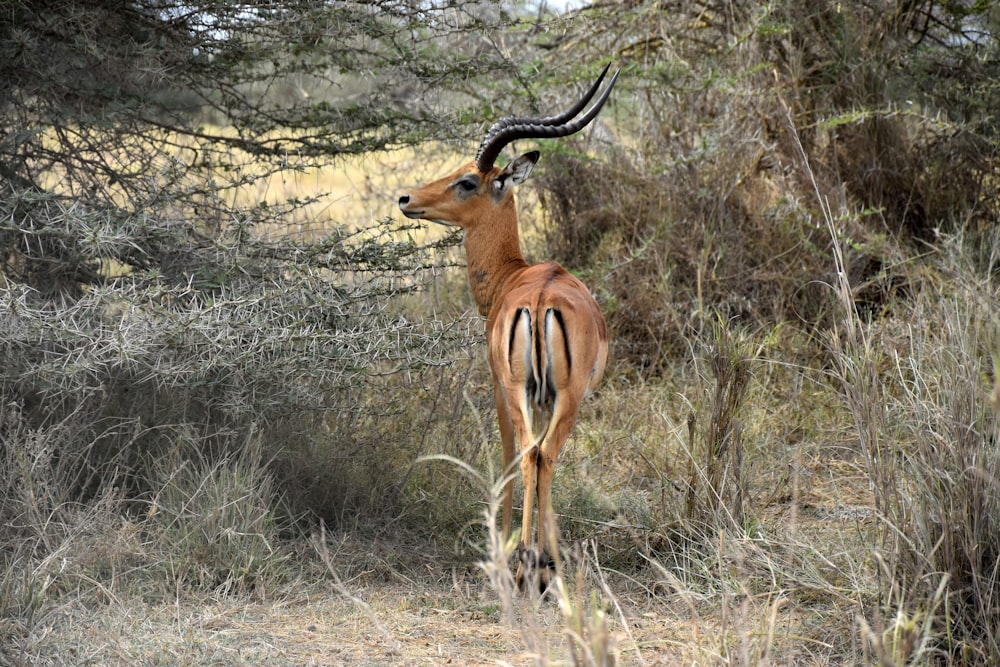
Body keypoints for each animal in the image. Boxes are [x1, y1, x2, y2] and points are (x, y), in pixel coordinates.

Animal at [398, 66, 616, 588]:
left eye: (467, 182)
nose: (406, 198)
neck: (512, 275)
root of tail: (540, 299)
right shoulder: (544, 397)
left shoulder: (500, 387)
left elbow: (507, 455)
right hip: (564, 398)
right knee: (544, 454)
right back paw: (540, 563)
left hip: (527, 392)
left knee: (531, 453)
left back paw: (525, 563)